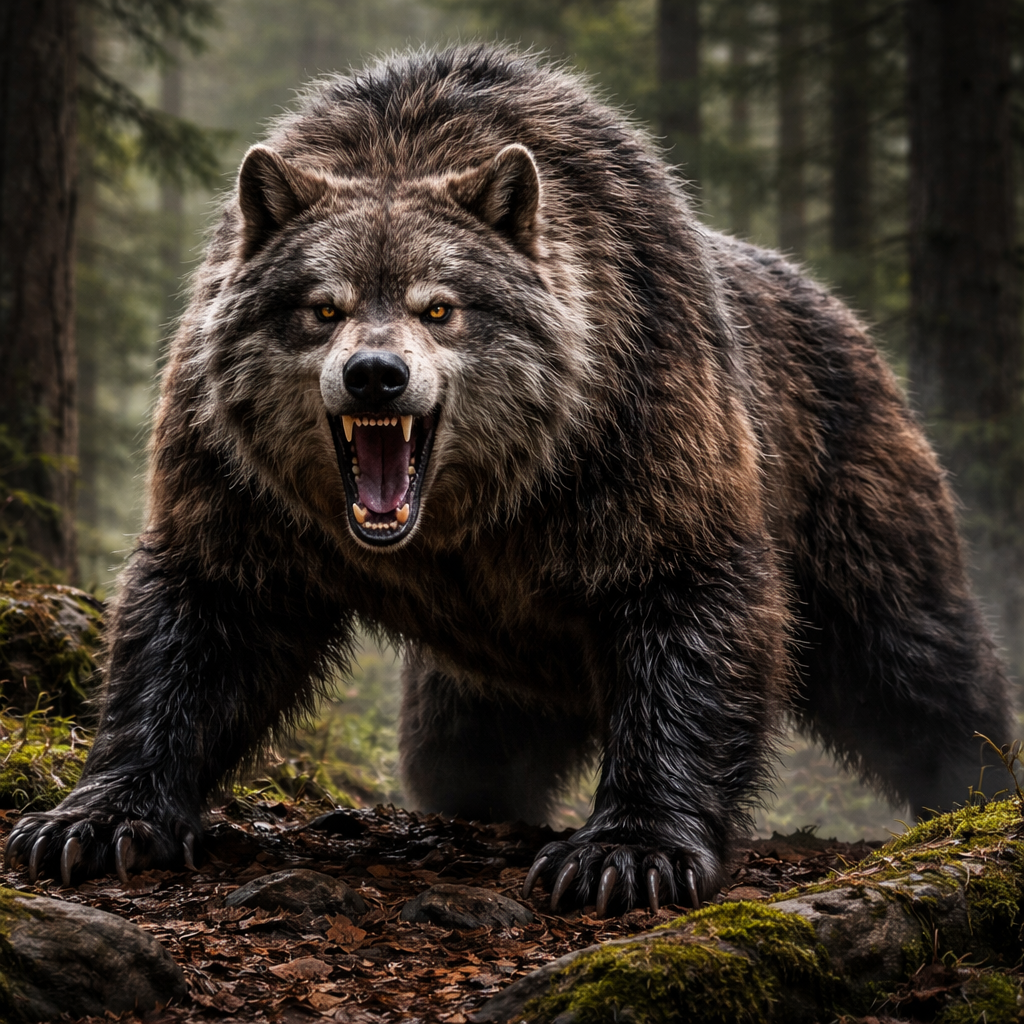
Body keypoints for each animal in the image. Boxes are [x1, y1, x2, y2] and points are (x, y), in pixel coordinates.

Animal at [5, 45, 1012, 914]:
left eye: (439, 306)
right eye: (322, 305)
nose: (376, 374)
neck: (474, 515)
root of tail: (844, 312)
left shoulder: (634, 428)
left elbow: (686, 600)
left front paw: (624, 854)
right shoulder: (241, 477)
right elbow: (201, 613)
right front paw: (88, 822)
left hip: (850, 481)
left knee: (915, 660)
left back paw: (980, 783)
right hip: (482, 677)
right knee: (458, 753)